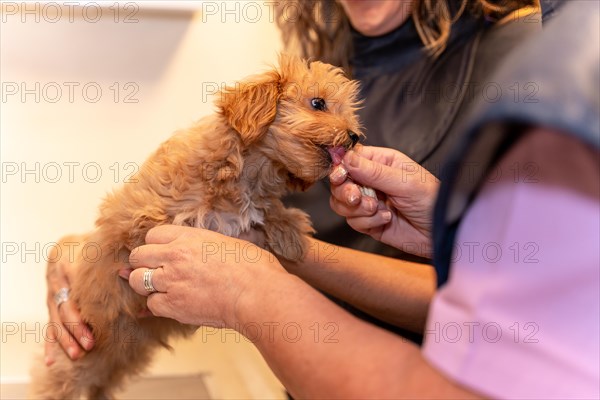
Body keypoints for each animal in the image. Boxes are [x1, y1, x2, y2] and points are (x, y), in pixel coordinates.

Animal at [31, 55, 360, 400]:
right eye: (318, 103)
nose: (355, 137)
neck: (253, 170)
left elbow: (269, 210)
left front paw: (290, 235)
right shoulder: (144, 213)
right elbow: (160, 221)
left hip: (120, 358)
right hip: (80, 351)